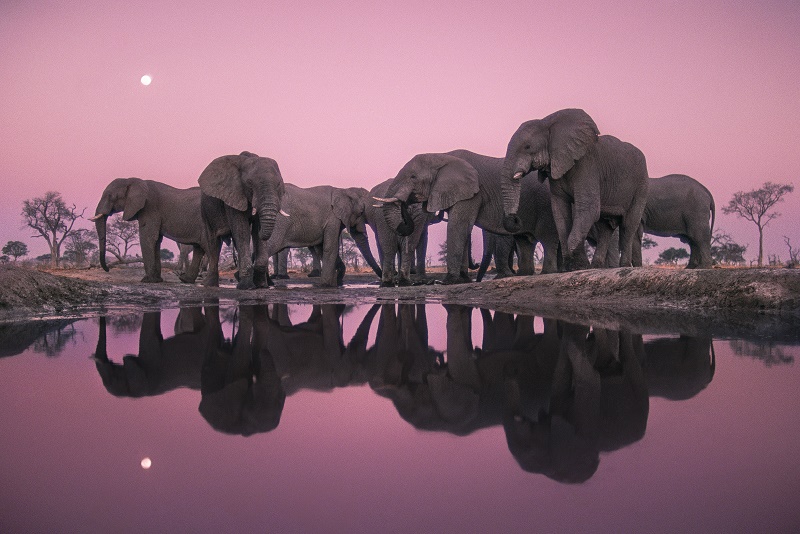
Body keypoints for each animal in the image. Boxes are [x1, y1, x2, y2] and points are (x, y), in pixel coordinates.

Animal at [197, 151, 288, 292]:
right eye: (249, 183)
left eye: (278, 184)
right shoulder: (233, 196)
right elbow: (242, 230)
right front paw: (247, 287)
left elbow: (254, 232)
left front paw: (261, 285)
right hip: (206, 211)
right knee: (214, 243)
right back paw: (210, 285)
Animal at [500, 108, 648, 270]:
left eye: (527, 147)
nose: (515, 218)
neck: (548, 123)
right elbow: (560, 211)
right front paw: (574, 266)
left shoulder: (587, 166)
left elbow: (588, 209)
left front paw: (580, 266)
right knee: (605, 227)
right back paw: (596, 266)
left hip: (641, 185)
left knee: (628, 224)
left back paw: (624, 266)